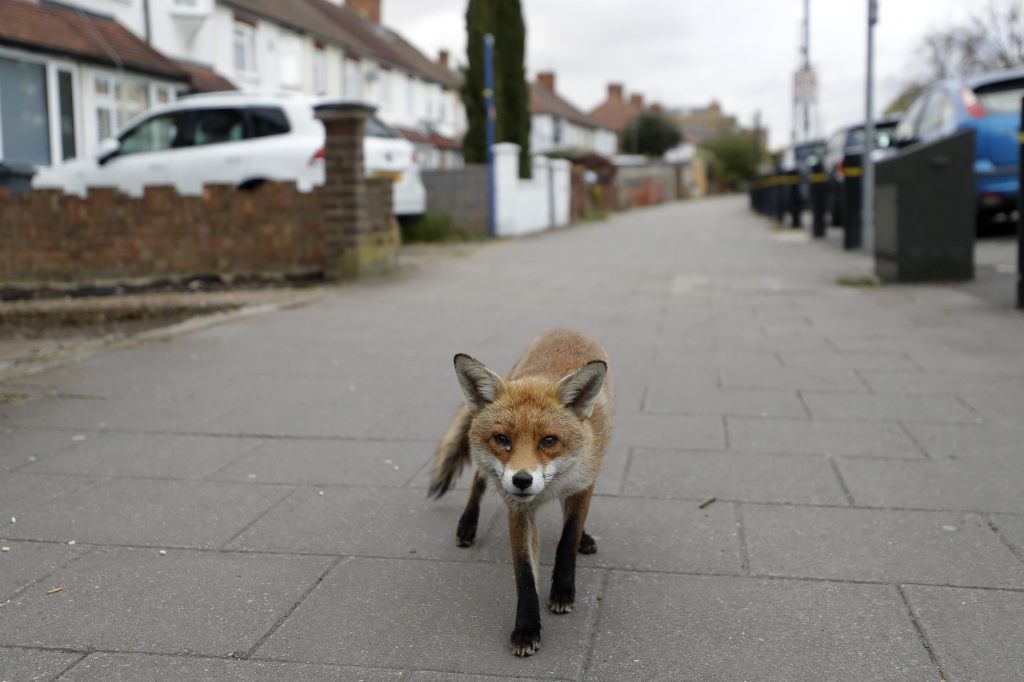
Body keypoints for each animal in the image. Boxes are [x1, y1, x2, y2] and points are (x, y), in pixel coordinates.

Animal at [428, 327, 610, 655]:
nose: (521, 480)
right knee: (478, 480)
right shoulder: (517, 508)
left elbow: (567, 538)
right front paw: (526, 628)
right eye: (502, 439)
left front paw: (563, 589)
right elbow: (524, 572)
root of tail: (566, 328)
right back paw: (467, 525)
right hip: (490, 474)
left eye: (549, 441)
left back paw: (585, 539)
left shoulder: (584, 483)